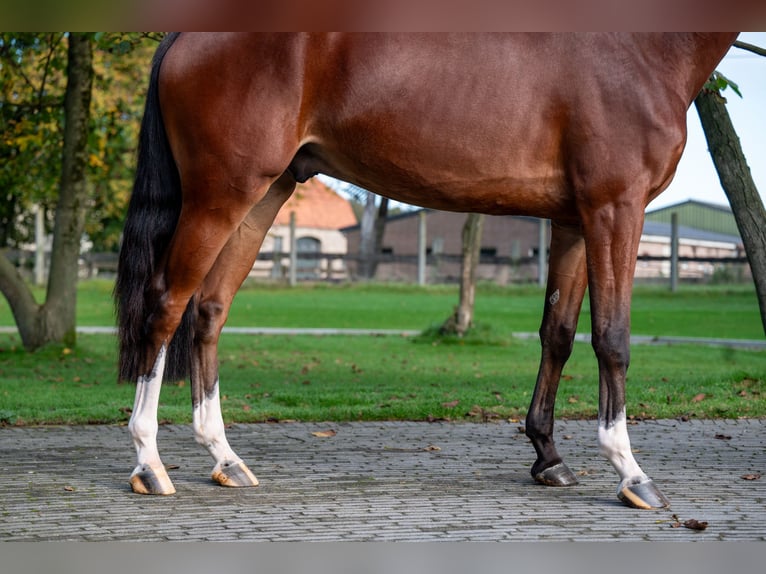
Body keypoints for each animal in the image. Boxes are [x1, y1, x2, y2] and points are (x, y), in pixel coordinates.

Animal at [117, 32, 740, 508]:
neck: (635, 48)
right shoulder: (616, 208)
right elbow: (612, 338)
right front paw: (632, 473)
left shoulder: (572, 221)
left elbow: (558, 334)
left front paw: (548, 458)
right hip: (220, 196)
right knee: (166, 304)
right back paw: (150, 465)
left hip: (264, 194)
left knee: (209, 310)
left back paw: (225, 459)